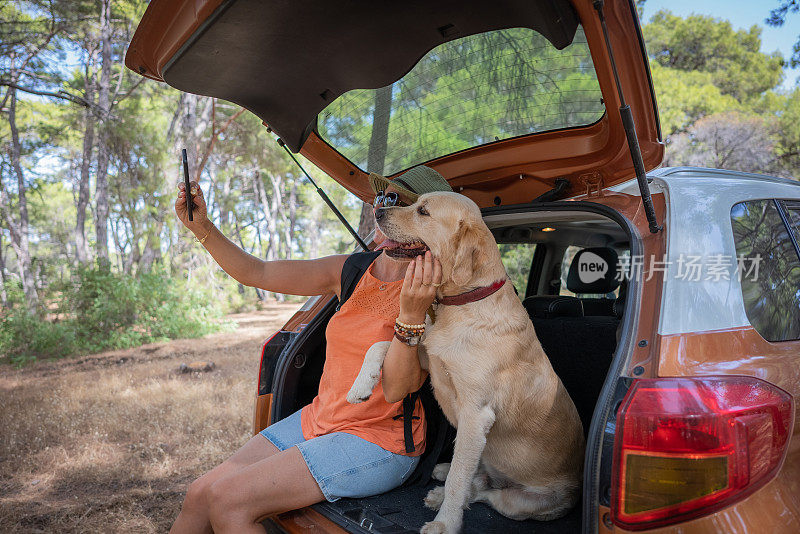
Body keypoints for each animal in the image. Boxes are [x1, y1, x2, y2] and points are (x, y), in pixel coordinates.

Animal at [346, 191, 584, 532]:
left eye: (423, 211)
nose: (378, 212)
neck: (461, 303)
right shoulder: (426, 355)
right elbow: (379, 346)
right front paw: (359, 388)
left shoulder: (475, 414)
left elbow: (460, 480)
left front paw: (445, 524)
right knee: (478, 478)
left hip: (518, 503)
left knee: (483, 491)